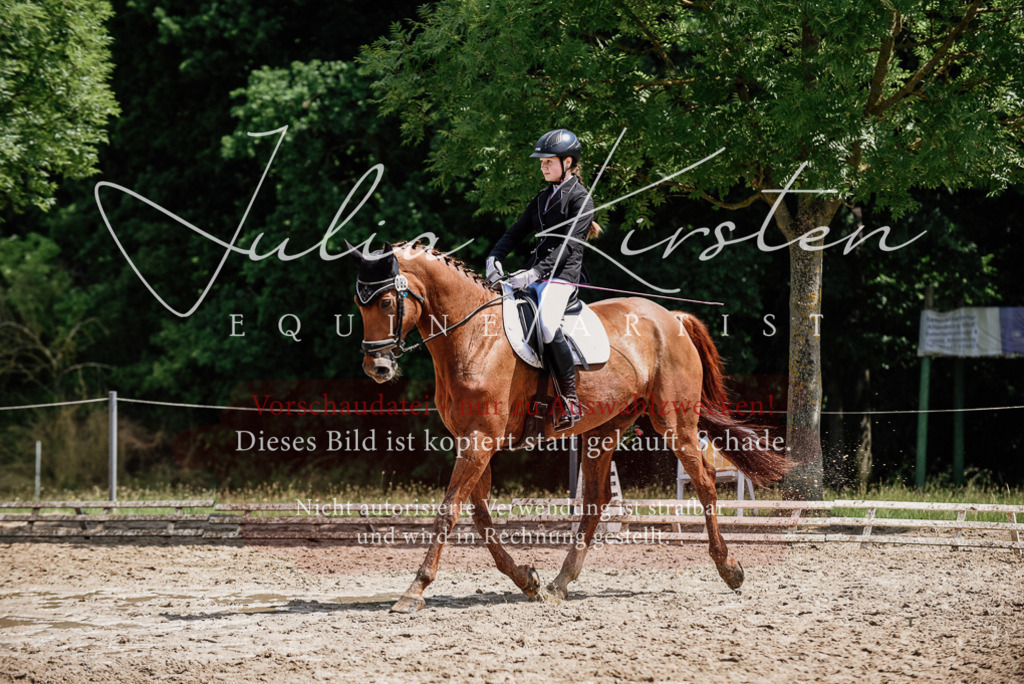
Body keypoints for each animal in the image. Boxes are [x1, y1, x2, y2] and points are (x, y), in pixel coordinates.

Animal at [347, 241, 788, 613]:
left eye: (386, 301)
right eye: (358, 303)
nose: (376, 368)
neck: (472, 337)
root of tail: (670, 317)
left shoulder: (479, 441)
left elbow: (448, 512)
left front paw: (414, 590)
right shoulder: (471, 442)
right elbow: (480, 517)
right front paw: (526, 580)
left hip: (674, 421)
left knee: (705, 481)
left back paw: (729, 568)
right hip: (603, 430)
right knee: (596, 500)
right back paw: (561, 582)